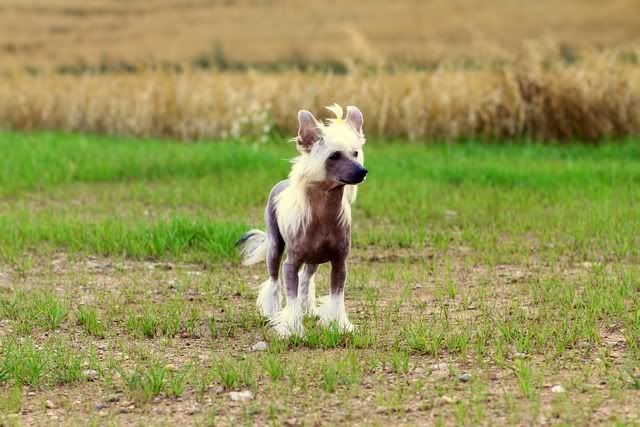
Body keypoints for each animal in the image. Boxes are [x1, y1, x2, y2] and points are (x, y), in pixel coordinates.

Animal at [237, 104, 367, 337]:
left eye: (355, 153)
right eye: (334, 156)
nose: (362, 171)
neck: (324, 215)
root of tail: (282, 182)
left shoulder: (339, 263)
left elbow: (337, 297)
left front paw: (339, 325)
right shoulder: (290, 264)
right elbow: (291, 297)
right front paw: (292, 328)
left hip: (314, 259)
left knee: (306, 279)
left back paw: (309, 310)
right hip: (275, 247)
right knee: (273, 280)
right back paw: (272, 312)